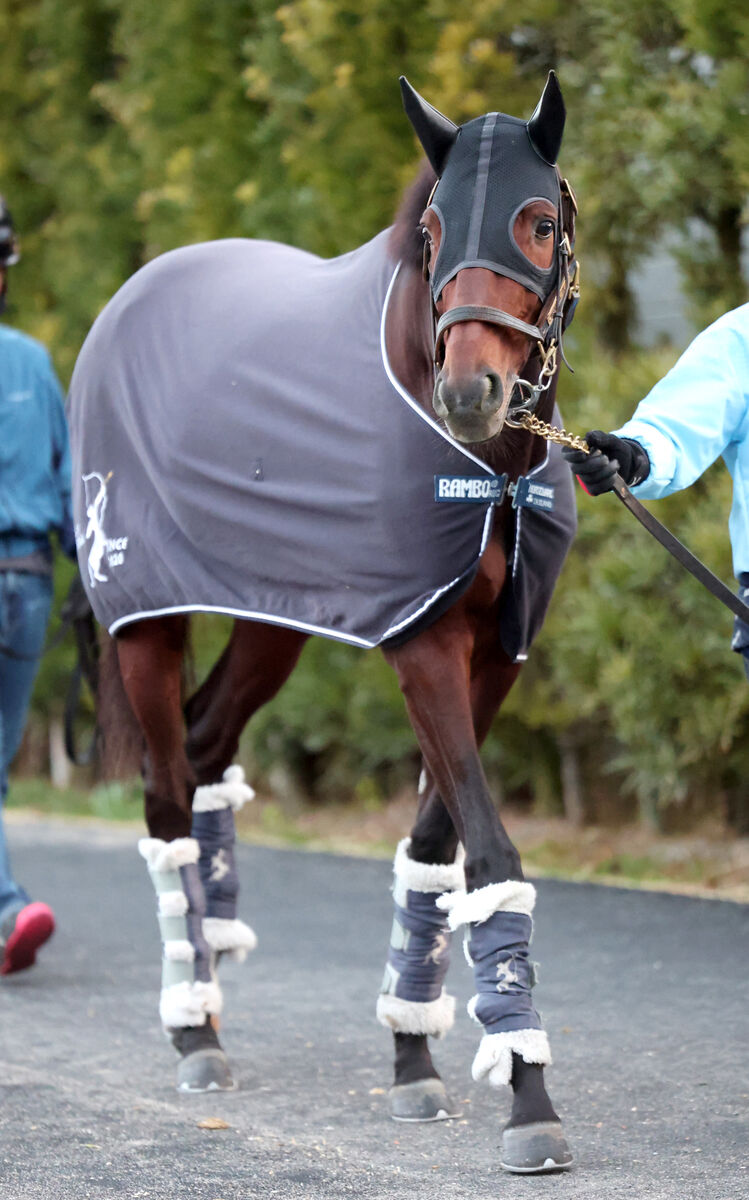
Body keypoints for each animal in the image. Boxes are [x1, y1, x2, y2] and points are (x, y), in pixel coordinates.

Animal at [67, 72, 578, 1171]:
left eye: (537, 219)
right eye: (431, 229)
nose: (470, 392)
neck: (487, 469)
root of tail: (129, 297)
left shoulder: (495, 650)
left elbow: (434, 848)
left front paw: (414, 1056)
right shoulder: (420, 641)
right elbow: (490, 853)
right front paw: (528, 1095)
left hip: (274, 617)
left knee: (208, 748)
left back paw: (209, 981)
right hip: (144, 627)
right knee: (166, 796)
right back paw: (194, 1030)